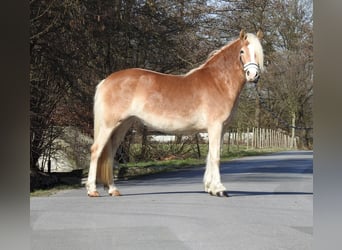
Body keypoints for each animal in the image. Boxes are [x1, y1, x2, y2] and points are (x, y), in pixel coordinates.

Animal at [86, 29, 264, 197]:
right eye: (242, 51)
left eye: (258, 51)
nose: (253, 75)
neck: (218, 82)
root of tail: (106, 81)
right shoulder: (215, 127)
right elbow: (216, 157)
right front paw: (219, 189)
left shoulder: (221, 129)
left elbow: (210, 156)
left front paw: (210, 188)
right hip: (109, 125)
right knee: (96, 150)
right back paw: (92, 190)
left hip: (122, 125)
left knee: (110, 152)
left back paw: (113, 189)